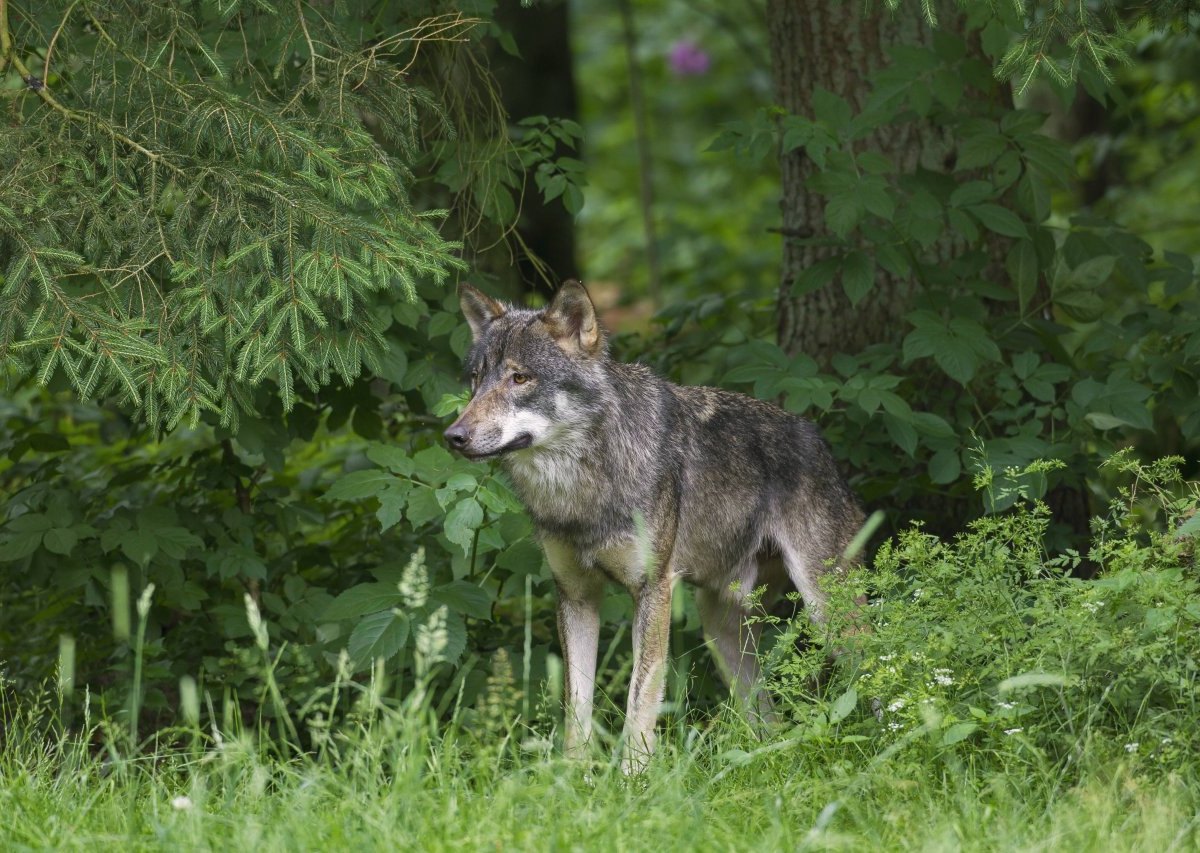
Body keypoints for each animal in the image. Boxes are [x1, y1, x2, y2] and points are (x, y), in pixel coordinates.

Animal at [444, 283, 864, 772]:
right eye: (476, 379)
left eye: (519, 378)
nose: (453, 436)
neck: (582, 487)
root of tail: (820, 442)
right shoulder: (576, 596)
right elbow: (576, 704)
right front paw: (571, 776)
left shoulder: (653, 591)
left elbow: (640, 698)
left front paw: (631, 777)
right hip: (723, 633)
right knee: (766, 718)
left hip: (828, 612)